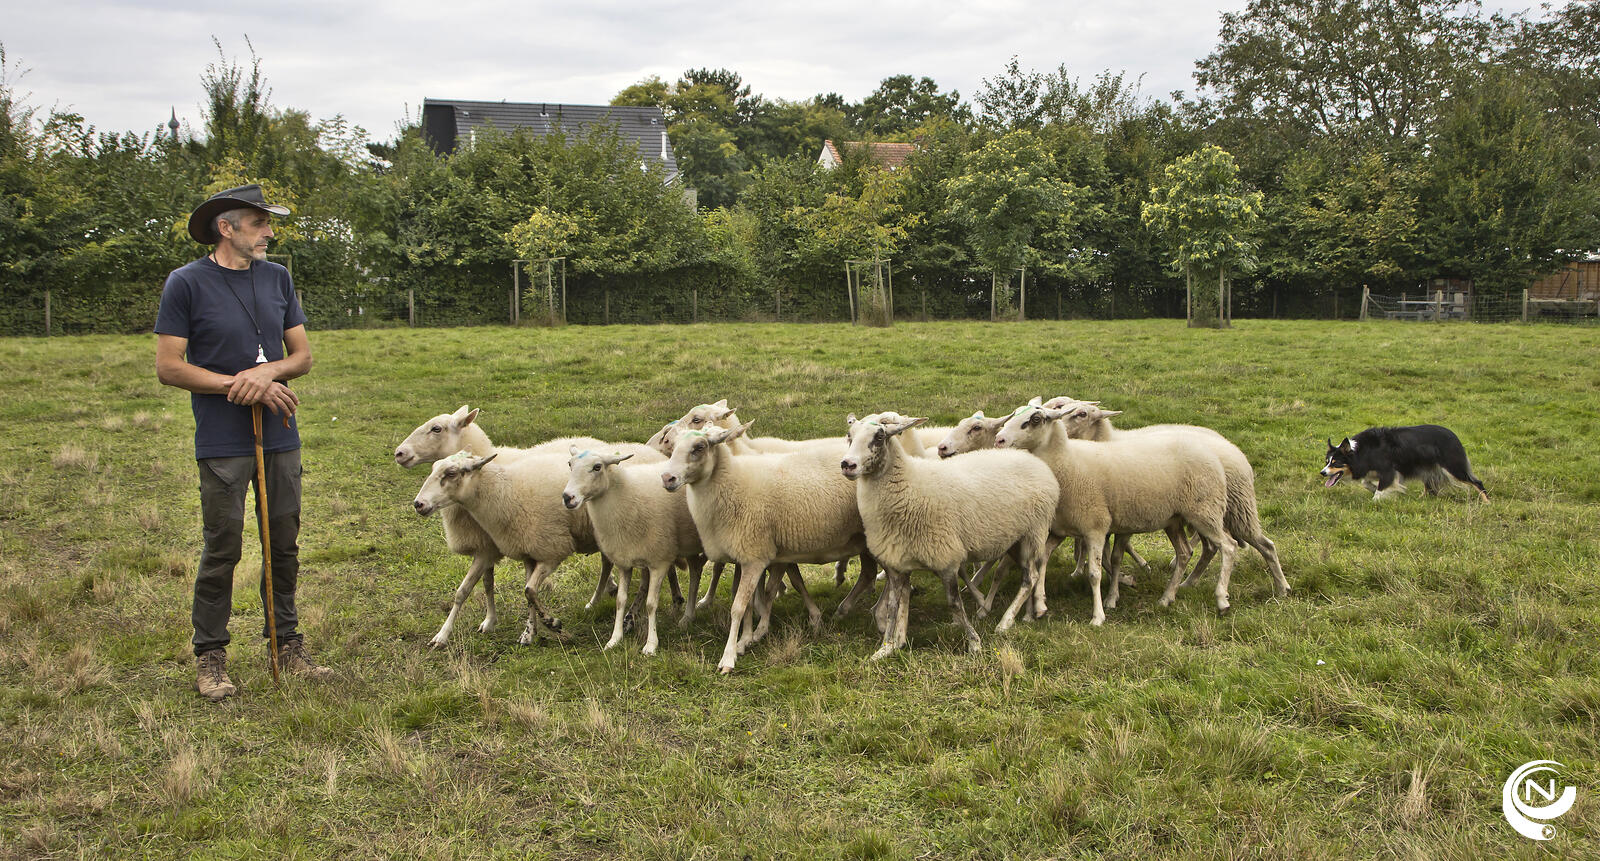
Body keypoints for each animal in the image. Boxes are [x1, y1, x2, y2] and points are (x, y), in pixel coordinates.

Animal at [566, 444, 710, 652]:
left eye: (597, 467)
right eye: (570, 464)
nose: (567, 497)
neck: (626, 496)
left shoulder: (659, 561)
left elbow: (651, 604)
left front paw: (651, 644)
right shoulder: (624, 561)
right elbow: (620, 600)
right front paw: (614, 639)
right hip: (688, 543)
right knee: (696, 572)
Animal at [659, 419, 870, 672]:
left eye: (699, 447)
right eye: (673, 446)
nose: (667, 478)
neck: (733, 483)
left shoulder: (755, 556)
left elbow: (739, 607)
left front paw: (729, 656)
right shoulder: (750, 556)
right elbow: (752, 602)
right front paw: (745, 641)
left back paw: (852, 610)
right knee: (870, 576)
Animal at [844, 409, 1056, 656]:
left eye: (879, 437)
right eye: (849, 436)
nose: (847, 464)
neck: (909, 484)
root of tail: (1033, 460)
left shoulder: (946, 558)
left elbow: (954, 603)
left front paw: (974, 642)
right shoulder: (896, 563)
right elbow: (894, 606)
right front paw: (887, 648)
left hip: (1034, 532)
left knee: (1031, 577)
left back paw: (1005, 622)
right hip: (1014, 539)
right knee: (1029, 574)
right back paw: (1027, 614)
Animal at [992, 401, 1241, 624]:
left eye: (1035, 419)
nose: (999, 439)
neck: (1066, 462)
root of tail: (1212, 453)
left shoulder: (1095, 526)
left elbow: (1094, 573)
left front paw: (1098, 617)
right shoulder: (1060, 530)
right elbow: (1042, 559)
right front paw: (1041, 605)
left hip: (1204, 511)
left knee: (1228, 546)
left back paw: (1221, 600)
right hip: (1174, 519)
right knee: (1184, 553)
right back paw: (1166, 598)